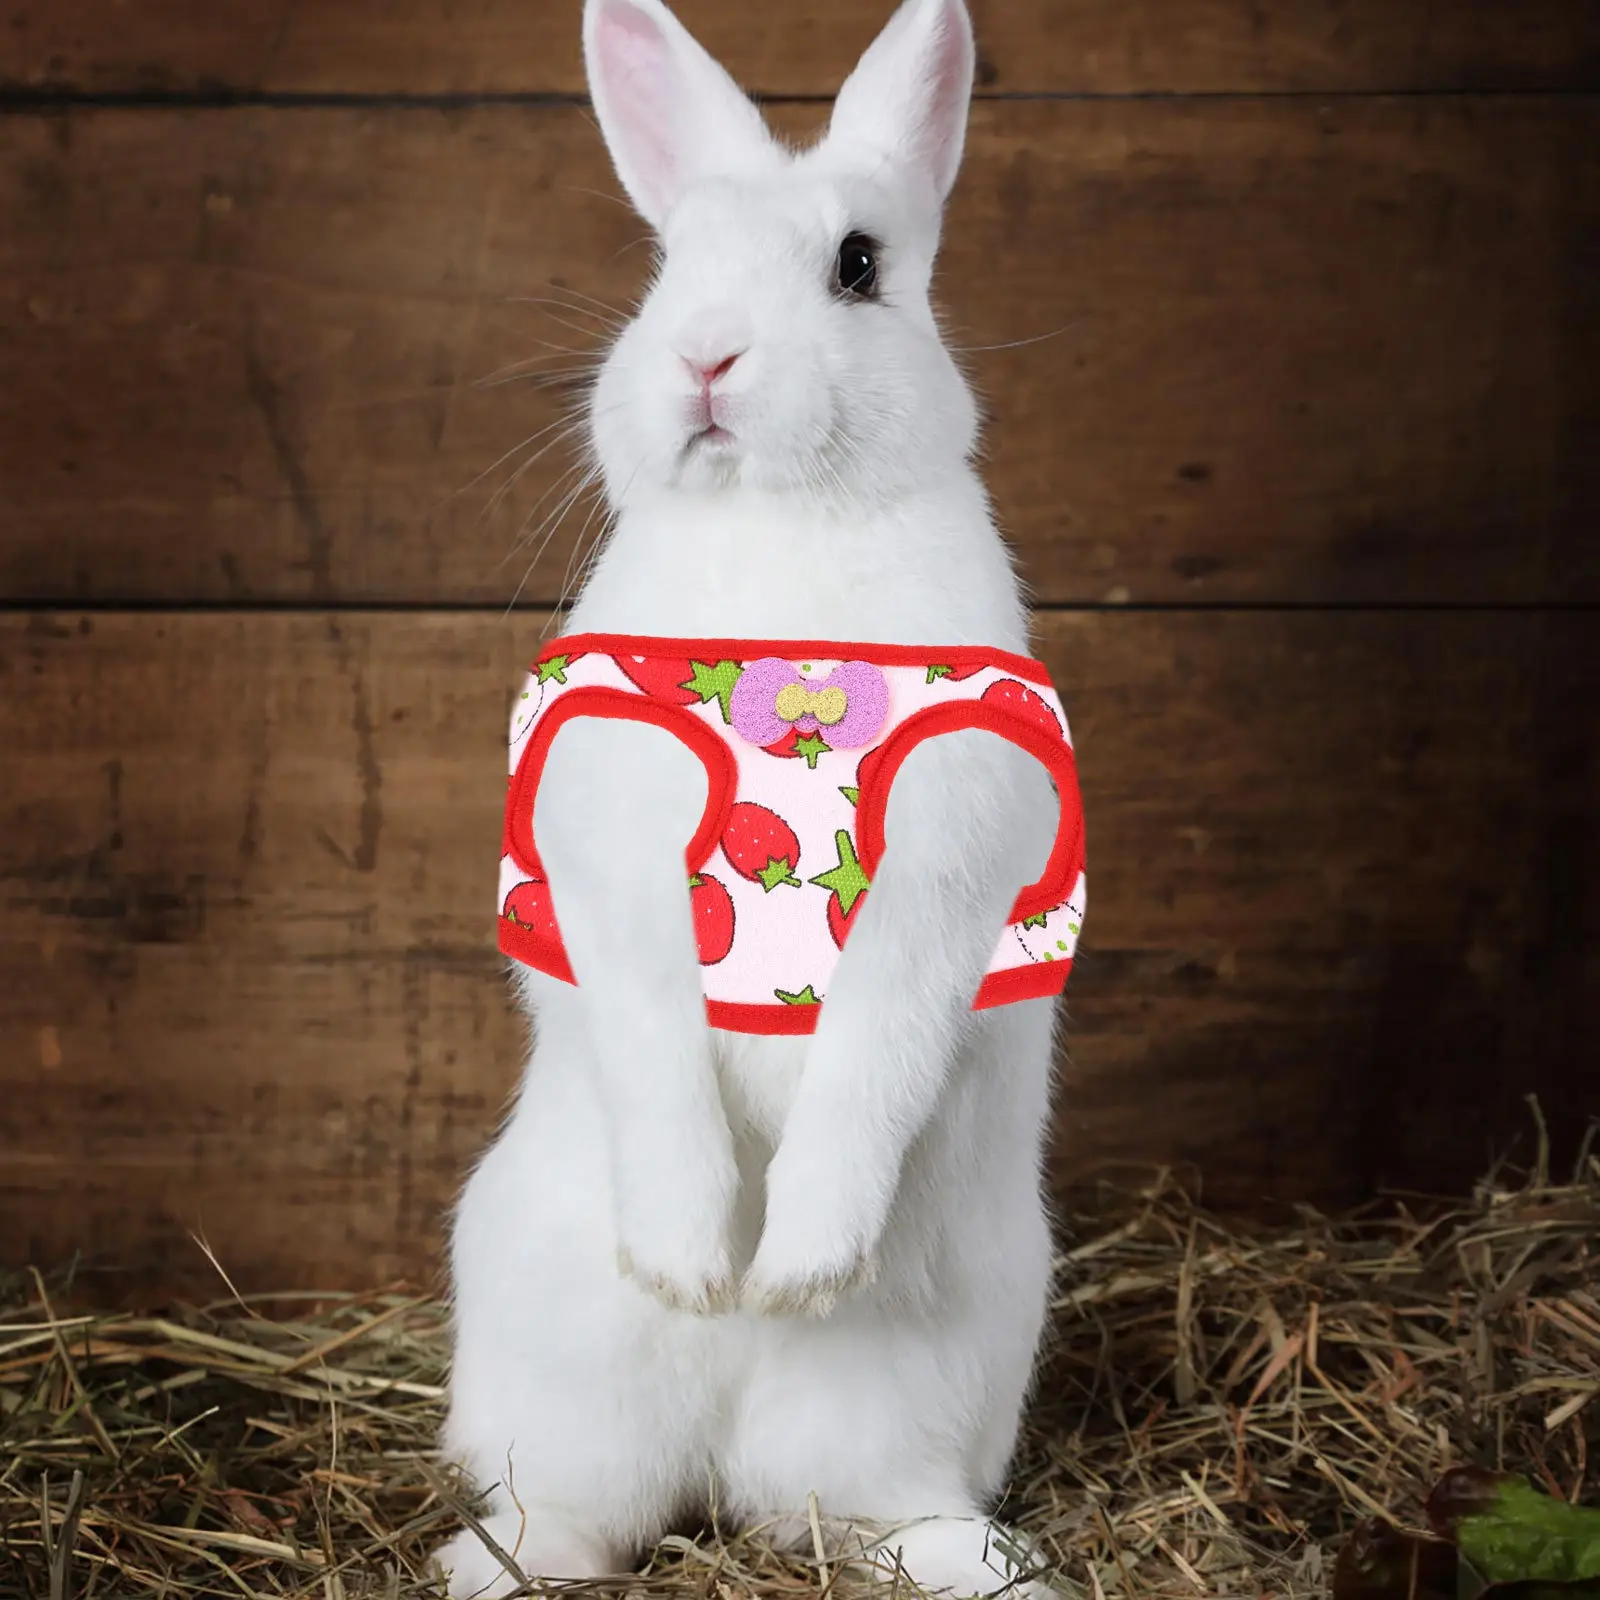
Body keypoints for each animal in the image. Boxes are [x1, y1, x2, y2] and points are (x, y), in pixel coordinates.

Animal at [433, 0, 1069, 1594]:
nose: (706, 358)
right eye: (670, 264)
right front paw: (692, 1258)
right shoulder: (614, 839)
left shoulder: (949, 852)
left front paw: (798, 1264)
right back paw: (507, 1555)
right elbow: (654, 1025)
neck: (781, 530)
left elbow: (878, 1036)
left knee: (872, 1508)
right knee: (577, 1507)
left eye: (858, 267)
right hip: (552, 1364)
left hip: (936, 1377)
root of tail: (721, 1465)